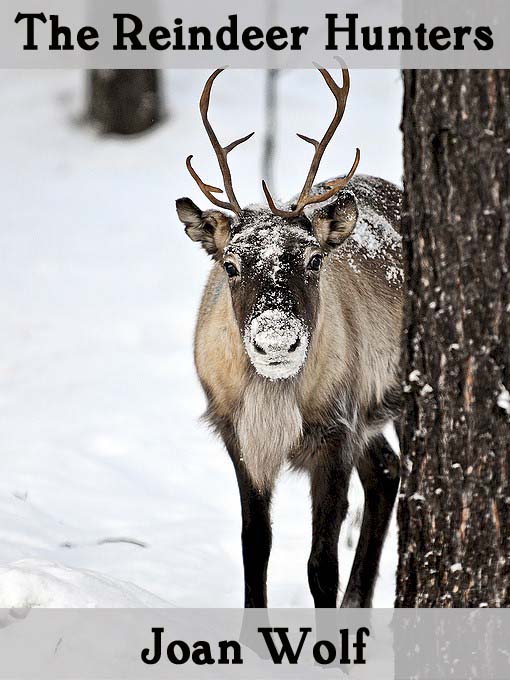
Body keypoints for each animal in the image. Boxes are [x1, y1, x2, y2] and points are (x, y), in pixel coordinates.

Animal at [175, 68, 402, 608]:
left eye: (314, 259)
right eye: (230, 264)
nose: (277, 343)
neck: (276, 400)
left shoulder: (337, 432)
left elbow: (321, 564)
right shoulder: (238, 434)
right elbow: (254, 545)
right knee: (387, 470)